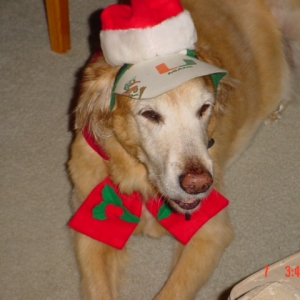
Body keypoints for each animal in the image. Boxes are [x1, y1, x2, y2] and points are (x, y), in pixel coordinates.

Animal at [68, 0, 300, 298]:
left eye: (204, 108)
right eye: (150, 114)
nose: (198, 184)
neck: (140, 179)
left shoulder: (211, 230)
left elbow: (173, 291)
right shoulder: (91, 225)